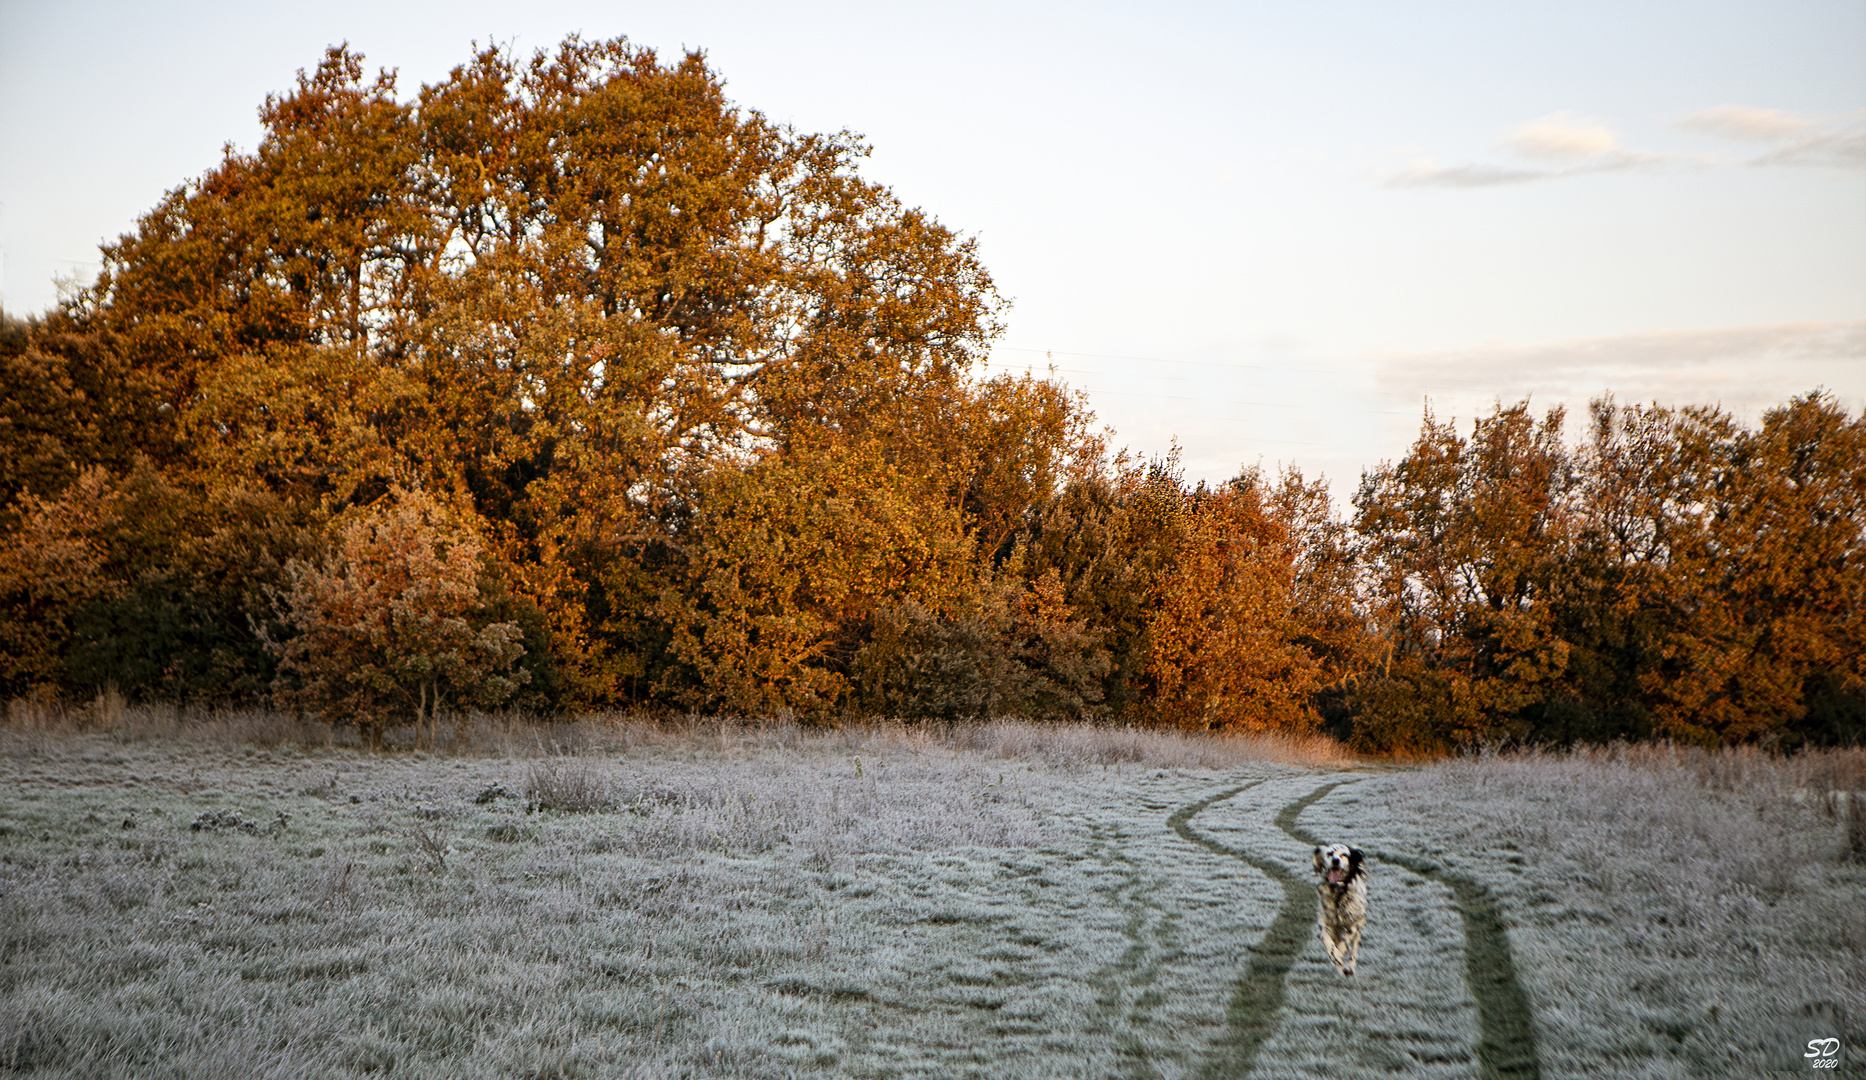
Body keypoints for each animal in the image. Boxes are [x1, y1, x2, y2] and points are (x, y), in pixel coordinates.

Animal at [1313, 846, 1373, 977]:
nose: (1335, 860)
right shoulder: (1325, 921)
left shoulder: (1358, 919)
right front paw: (1335, 955)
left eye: (1344, 855)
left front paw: (1341, 952)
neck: (1338, 893)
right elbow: (1328, 941)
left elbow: (1347, 938)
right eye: (1330, 853)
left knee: (1354, 947)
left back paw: (1349, 966)